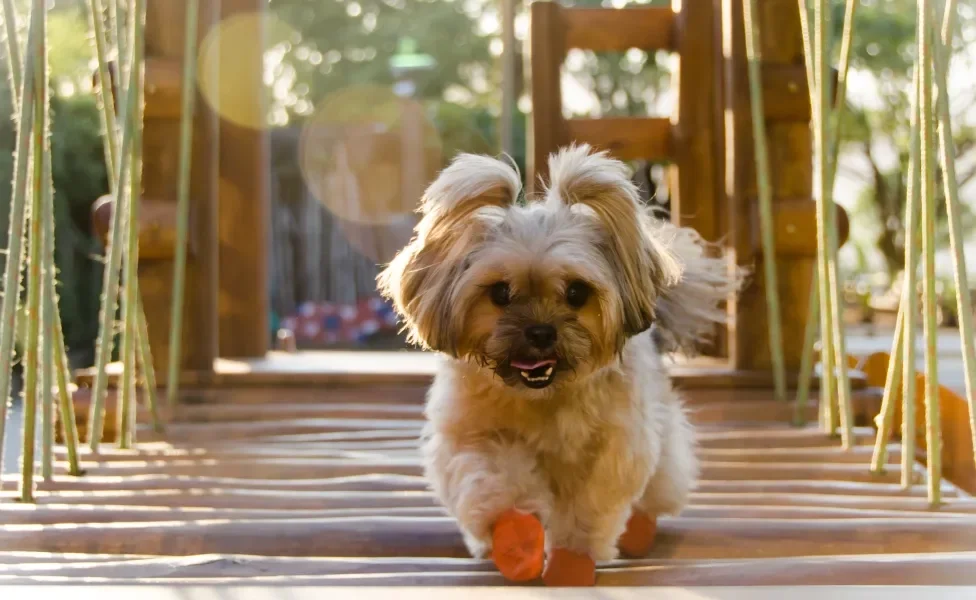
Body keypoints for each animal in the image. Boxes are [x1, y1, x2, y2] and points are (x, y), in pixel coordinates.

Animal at [378, 143, 744, 584]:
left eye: (576, 292)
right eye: (499, 293)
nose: (540, 331)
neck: (545, 398)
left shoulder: (614, 448)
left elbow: (590, 508)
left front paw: (572, 560)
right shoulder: (474, 437)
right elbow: (496, 483)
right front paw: (516, 539)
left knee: (659, 485)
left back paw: (640, 528)